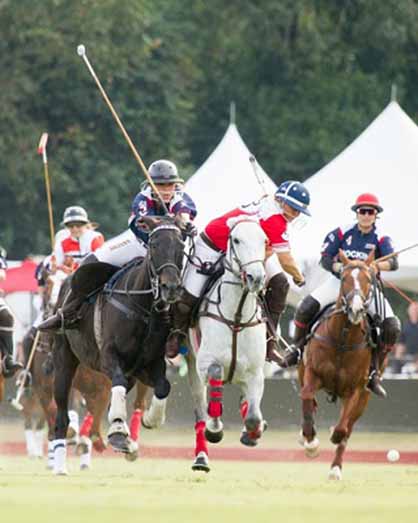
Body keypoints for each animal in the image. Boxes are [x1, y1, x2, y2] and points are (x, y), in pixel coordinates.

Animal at [188, 219, 266, 472]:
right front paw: (215, 430)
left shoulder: (255, 372)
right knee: (200, 404)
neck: (237, 316)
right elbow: (214, 386)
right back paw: (201, 457)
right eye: (237, 240)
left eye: (264, 241)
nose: (256, 277)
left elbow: (252, 416)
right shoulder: (206, 363)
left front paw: (253, 432)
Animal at [298, 252, 378, 482]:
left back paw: (335, 468)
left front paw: (334, 435)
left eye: (368, 279)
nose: (356, 309)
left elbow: (343, 428)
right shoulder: (311, 373)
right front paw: (310, 441)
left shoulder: (356, 389)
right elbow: (306, 396)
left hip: (364, 397)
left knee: (348, 426)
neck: (343, 339)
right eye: (344, 278)